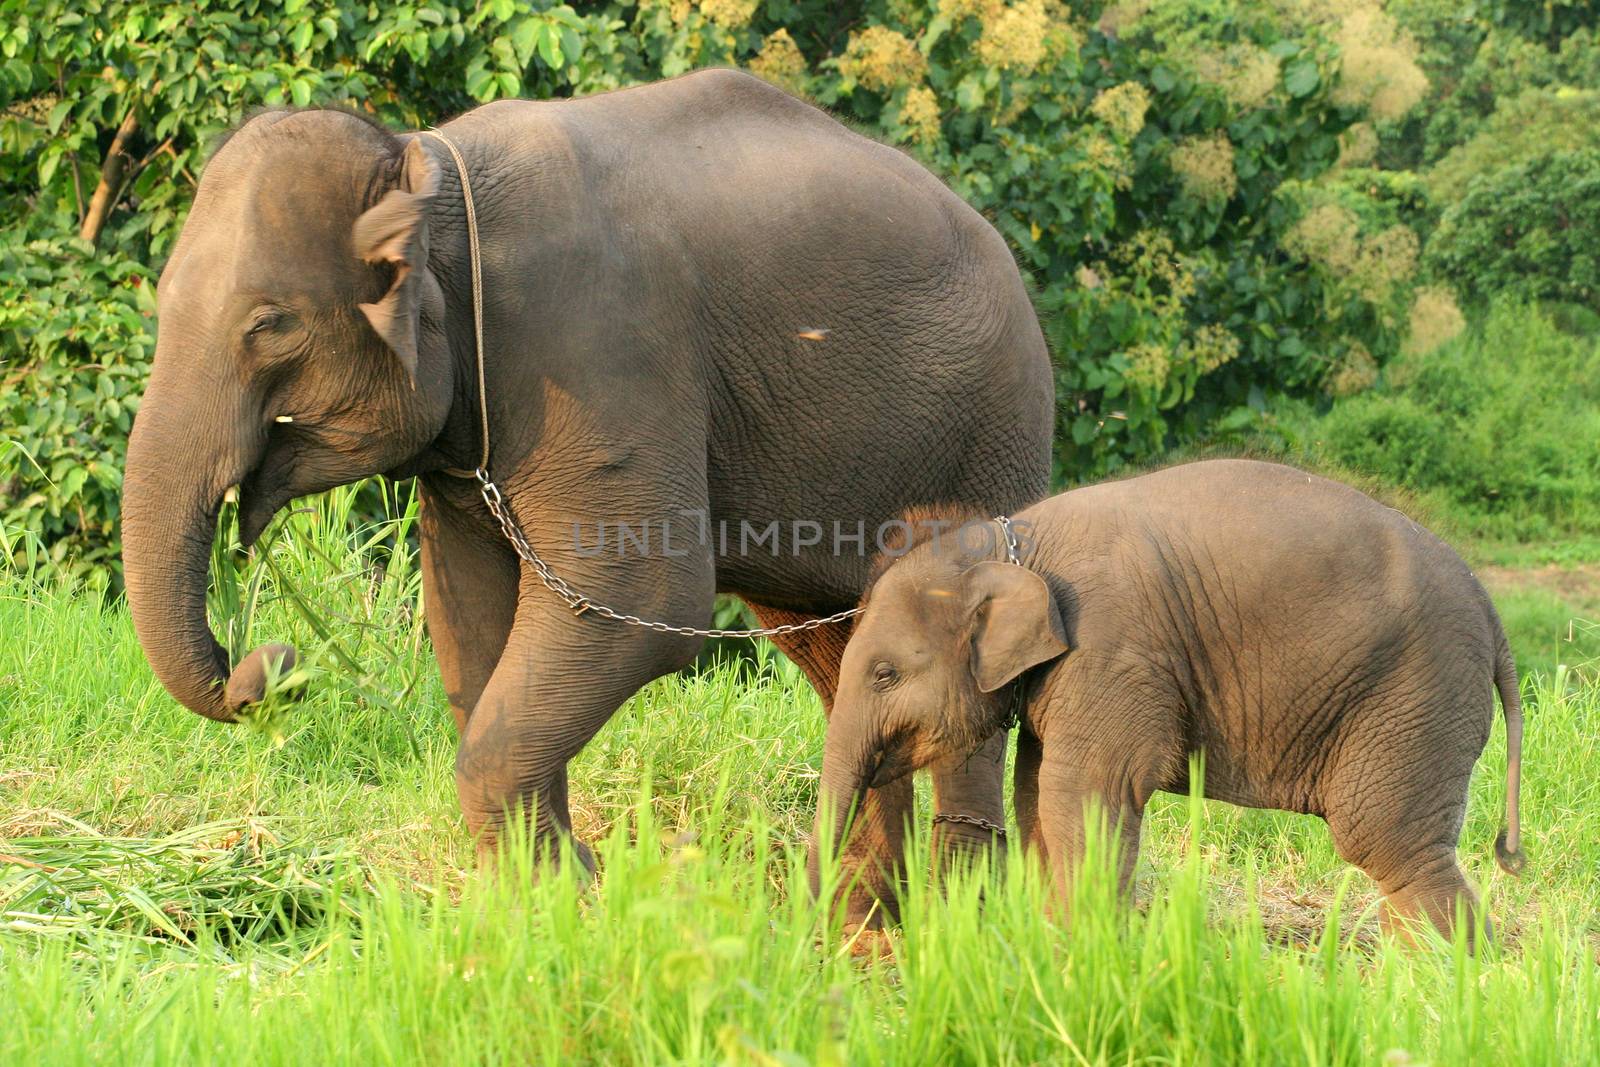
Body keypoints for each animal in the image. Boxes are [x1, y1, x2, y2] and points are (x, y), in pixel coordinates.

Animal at [124, 68, 1049, 927]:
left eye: (269, 323)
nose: (268, 662)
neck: (432, 173)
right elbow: (469, 619)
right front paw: (544, 897)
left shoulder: (595, 349)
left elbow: (639, 602)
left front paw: (573, 894)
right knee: (832, 651)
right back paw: (856, 929)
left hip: (986, 438)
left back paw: (950, 922)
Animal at [819, 460, 1529, 940]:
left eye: (884, 675)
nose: (836, 935)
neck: (1006, 545)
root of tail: (1496, 622)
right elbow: (1036, 793)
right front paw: (1050, 946)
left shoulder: (1111, 649)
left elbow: (1086, 791)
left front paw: (1082, 954)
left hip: (1416, 698)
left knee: (1390, 845)